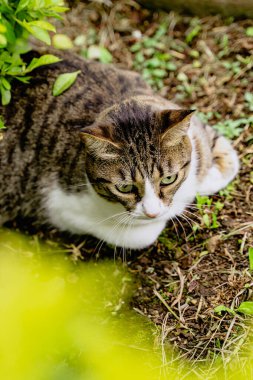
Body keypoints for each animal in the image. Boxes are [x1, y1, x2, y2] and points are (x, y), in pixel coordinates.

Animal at [0, 50, 239, 249]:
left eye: (169, 179)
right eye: (124, 188)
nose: (153, 212)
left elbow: (227, 159)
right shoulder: (61, 207)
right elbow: (140, 235)